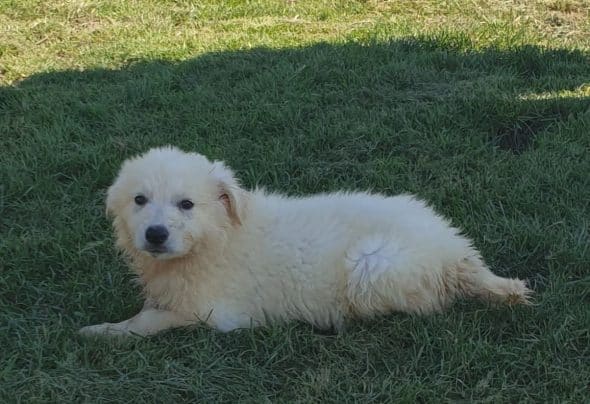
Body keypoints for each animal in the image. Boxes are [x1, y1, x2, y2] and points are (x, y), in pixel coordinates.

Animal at [81, 147, 536, 336]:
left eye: (187, 204)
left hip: (371, 265)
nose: (155, 234)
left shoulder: (216, 314)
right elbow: (151, 308)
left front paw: (101, 333)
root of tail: (456, 254)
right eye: (139, 200)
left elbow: (149, 322)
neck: (218, 237)